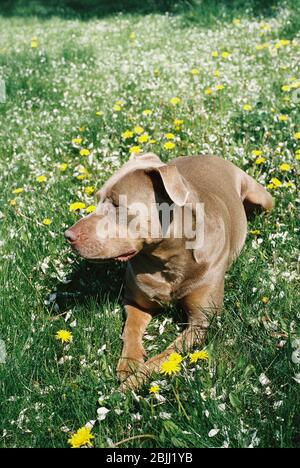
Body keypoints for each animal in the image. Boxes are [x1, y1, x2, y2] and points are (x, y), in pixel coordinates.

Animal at [64, 153, 274, 388]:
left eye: (117, 204)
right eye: (98, 198)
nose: (68, 235)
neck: (167, 260)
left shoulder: (200, 323)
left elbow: (166, 356)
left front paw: (130, 385)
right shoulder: (136, 302)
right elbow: (130, 329)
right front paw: (129, 363)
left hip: (262, 197)